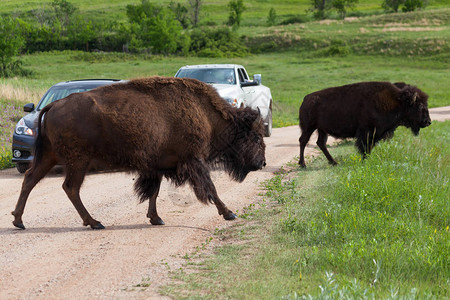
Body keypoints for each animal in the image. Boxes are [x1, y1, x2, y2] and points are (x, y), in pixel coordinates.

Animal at [298, 81, 430, 168]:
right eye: (419, 106)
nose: (428, 122)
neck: (396, 102)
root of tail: (306, 99)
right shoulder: (366, 132)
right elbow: (364, 147)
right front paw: (365, 161)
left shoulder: (374, 134)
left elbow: (368, 147)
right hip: (309, 127)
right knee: (303, 141)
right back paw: (303, 164)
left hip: (322, 130)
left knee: (321, 143)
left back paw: (334, 162)